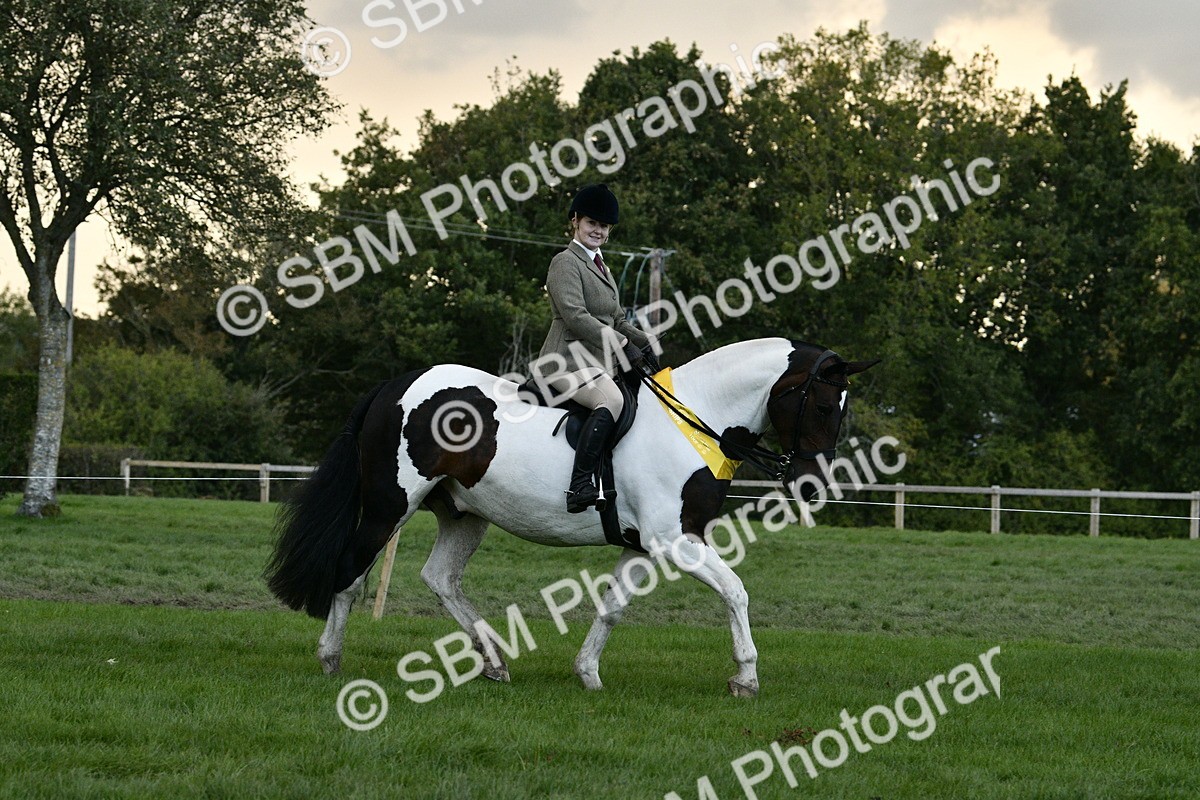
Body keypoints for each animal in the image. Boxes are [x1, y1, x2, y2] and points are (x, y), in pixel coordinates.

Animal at [265, 338, 878, 696]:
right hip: (390, 505)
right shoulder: (675, 540)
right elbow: (736, 591)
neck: (695, 420)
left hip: (464, 513)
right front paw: (746, 677)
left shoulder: (642, 544)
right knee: (351, 573)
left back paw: (493, 661)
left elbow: (612, 608)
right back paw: (331, 659)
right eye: (825, 405)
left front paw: (587, 673)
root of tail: (396, 386)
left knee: (441, 579)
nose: (814, 485)